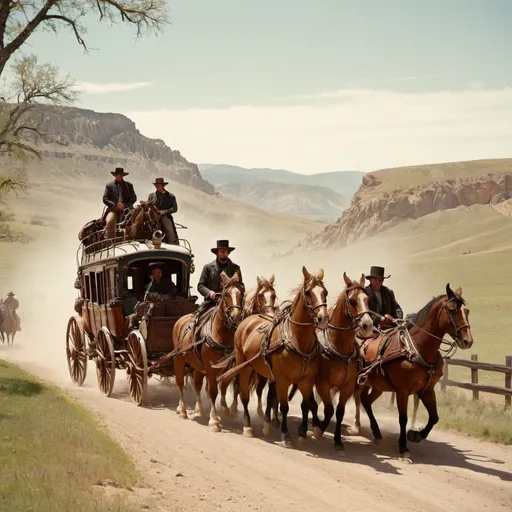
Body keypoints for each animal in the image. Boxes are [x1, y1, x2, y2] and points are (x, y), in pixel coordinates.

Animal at [172, 272, 244, 432]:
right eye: (226, 294)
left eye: (241, 293)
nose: (235, 316)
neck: (219, 333)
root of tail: (180, 321)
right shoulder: (211, 369)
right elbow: (213, 391)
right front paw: (214, 421)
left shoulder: (227, 368)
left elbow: (221, 388)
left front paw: (222, 412)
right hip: (179, 360)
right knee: (180, 382)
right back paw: (183, 410)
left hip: (198, 366)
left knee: (197, 384)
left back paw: (199, 410)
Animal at [216, 268, 328, 448]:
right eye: (309, 293)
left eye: (325, 292)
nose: (323, 318)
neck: (297, 340)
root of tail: (245, 321)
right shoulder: (282, 379)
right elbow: (283, 406)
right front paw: (285, 435)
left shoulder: (306, 379)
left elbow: (306, 405)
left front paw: (303, 433)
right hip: (244, 366)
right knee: (243, 394)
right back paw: (247, 425)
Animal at [286, 272, 374, 452]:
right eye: (352, 301)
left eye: (368, 299)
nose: (367, 325)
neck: (338, 347)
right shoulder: (322, 384)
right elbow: (328, 409)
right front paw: (318, 431)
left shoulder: (347, 386)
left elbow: (339, 411)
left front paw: (338, 440)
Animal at [356, 284, 472, 456]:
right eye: (452, 310)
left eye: (467, 311)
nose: (467, 341)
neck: (416, 348)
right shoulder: (402, 391)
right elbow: (403, 418)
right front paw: (403, 446)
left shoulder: (427, 390)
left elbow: (434, 417)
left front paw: (416, 435)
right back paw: (356, 425)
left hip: (377, 385)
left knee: (365, 401)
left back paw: (376, 432)